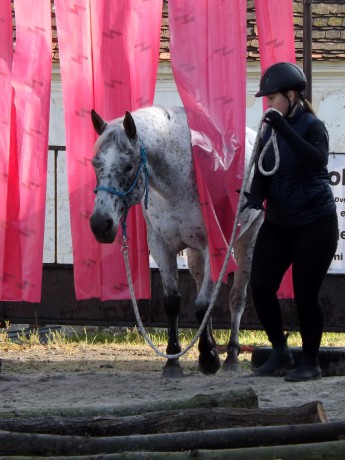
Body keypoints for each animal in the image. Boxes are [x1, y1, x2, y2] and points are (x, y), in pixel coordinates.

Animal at [90, 107, 262, 378]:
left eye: (129, 166)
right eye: (95, 164)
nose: (100, 224)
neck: (176, 185)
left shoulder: (212, 248)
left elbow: (202, 305)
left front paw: (208, 357)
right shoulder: (161, 246)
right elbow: (172, 302)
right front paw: (173, 360)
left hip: (246, 241)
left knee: (236, 298)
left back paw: (231, 357)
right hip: (195, 255)